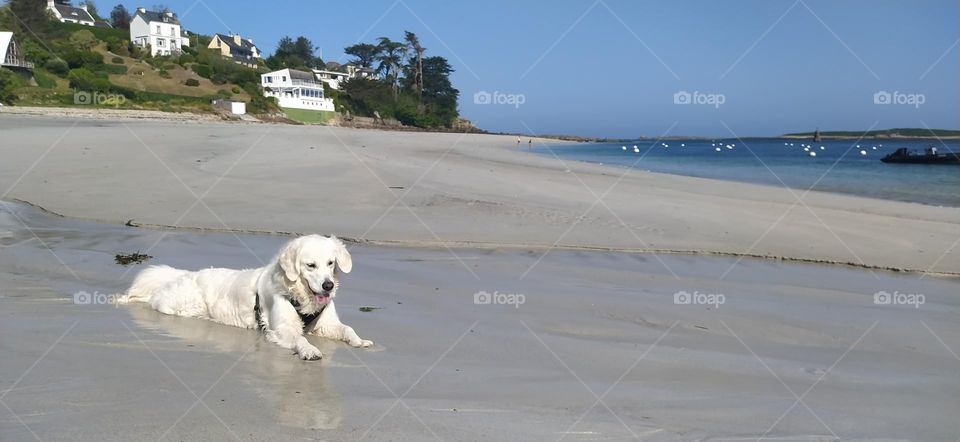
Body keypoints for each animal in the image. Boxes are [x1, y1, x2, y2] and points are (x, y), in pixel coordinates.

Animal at [118, 235, 374, 360]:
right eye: (310, 265)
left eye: (330, 263)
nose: (328, 286)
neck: (301, 297)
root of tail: (186, 273)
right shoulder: (282, 328)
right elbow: (300, 339)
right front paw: (309, 350)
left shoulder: (327, 323)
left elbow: (347, 328)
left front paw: (360, 341)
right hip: (180, 305)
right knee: (152, 299)